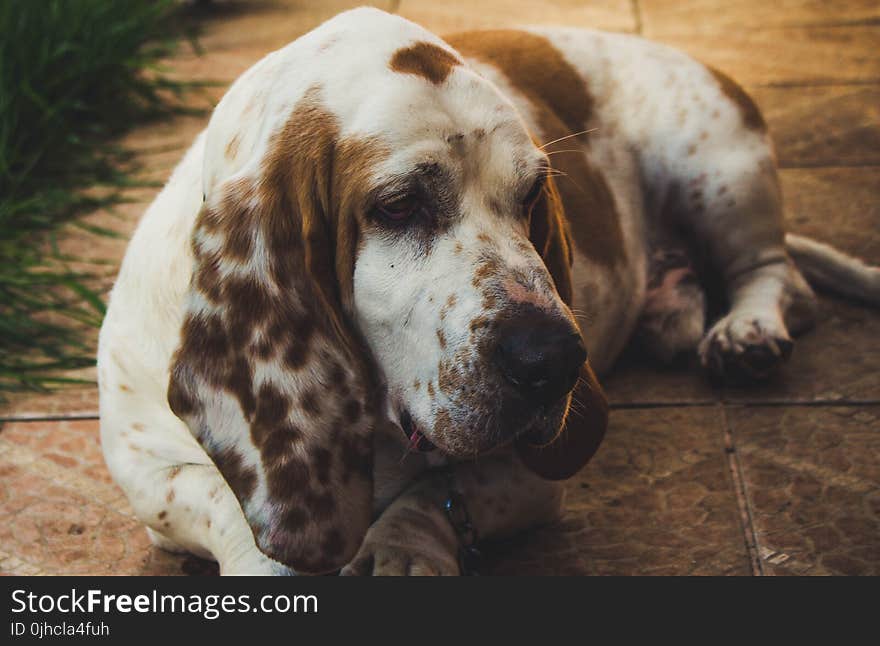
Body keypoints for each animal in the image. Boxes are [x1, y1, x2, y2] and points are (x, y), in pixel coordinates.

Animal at [98, 8, 880, 576]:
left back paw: (748, 332)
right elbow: (221, 502)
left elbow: (435, 496)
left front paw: (400, 549)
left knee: (776, 276)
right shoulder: (151, 478)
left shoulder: (531, 478)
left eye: (532, 196)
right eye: (399, 205)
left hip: (720, 174)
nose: (556, 361)